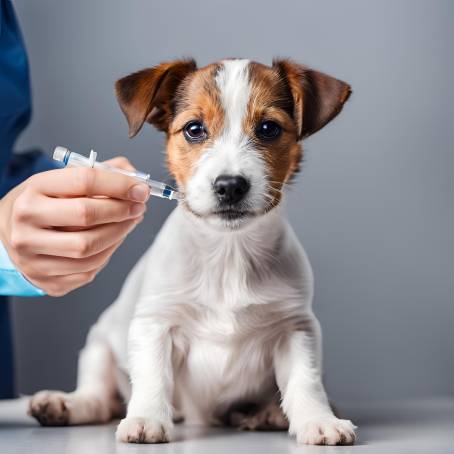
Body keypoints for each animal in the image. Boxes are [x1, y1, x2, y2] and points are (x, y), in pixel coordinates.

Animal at [28, 58, 356, 446]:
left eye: (269, 128)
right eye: (195, 129)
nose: (230, 186)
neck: (228, 254)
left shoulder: (295, 328)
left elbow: (306, 381)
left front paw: (319, 420)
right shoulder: (155, 323)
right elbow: (153, 375)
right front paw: (146, 418)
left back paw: (267, 413)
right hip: (99, 344)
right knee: (98, 396)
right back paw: (63, 404)